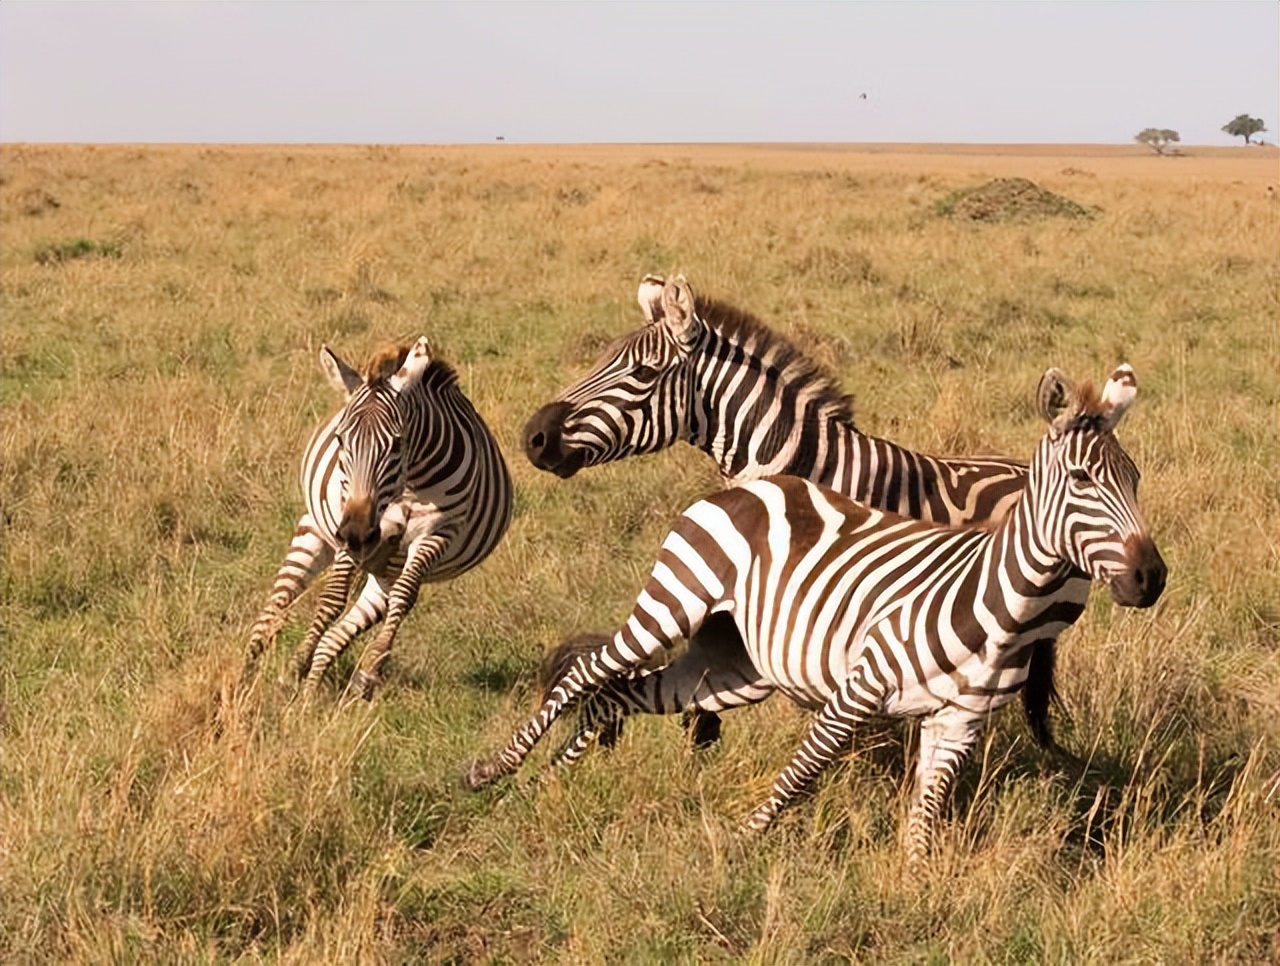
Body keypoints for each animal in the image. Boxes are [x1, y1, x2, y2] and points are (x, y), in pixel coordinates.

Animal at [241, 337, 513, 699]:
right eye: (341, 439)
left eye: (397, 443)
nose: (357, 534)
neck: (409, 484)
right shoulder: (345, 525)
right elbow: (331, 600)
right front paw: (296, 667)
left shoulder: (438, 533)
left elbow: (403, 597)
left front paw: (371, 668)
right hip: (315, 531)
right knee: (278, 603)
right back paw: (244, 674)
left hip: (384, 571)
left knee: (343, 630)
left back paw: (315, 687)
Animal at [465, 364, 1166, 862]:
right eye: (1081, 479)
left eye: (1135, 479)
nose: (1150, 578)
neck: (996, 607)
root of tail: (752, 485)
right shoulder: (857, 691)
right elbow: (799, 777)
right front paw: (737, 846)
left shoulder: (956, 724)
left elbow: (924, 819)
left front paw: (915, 892)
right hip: (672, 602)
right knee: (587, 673)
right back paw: (494, 772)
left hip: (733, 666)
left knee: (621, 694)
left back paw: (551, 782)